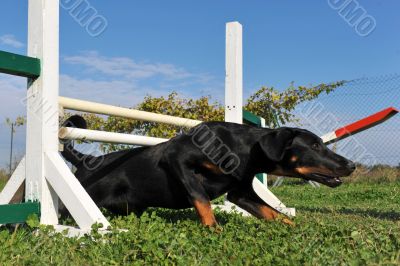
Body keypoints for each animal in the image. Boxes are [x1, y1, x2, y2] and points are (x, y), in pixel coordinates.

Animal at [61, 115, 354, 225]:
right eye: (315, 145)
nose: (351, 165)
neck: (242, 150)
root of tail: (86, 160)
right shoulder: (177, 159)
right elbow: (201, 199)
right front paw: (214, 229)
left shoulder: (241, 193)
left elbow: (272, 212)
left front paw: (296, 228)